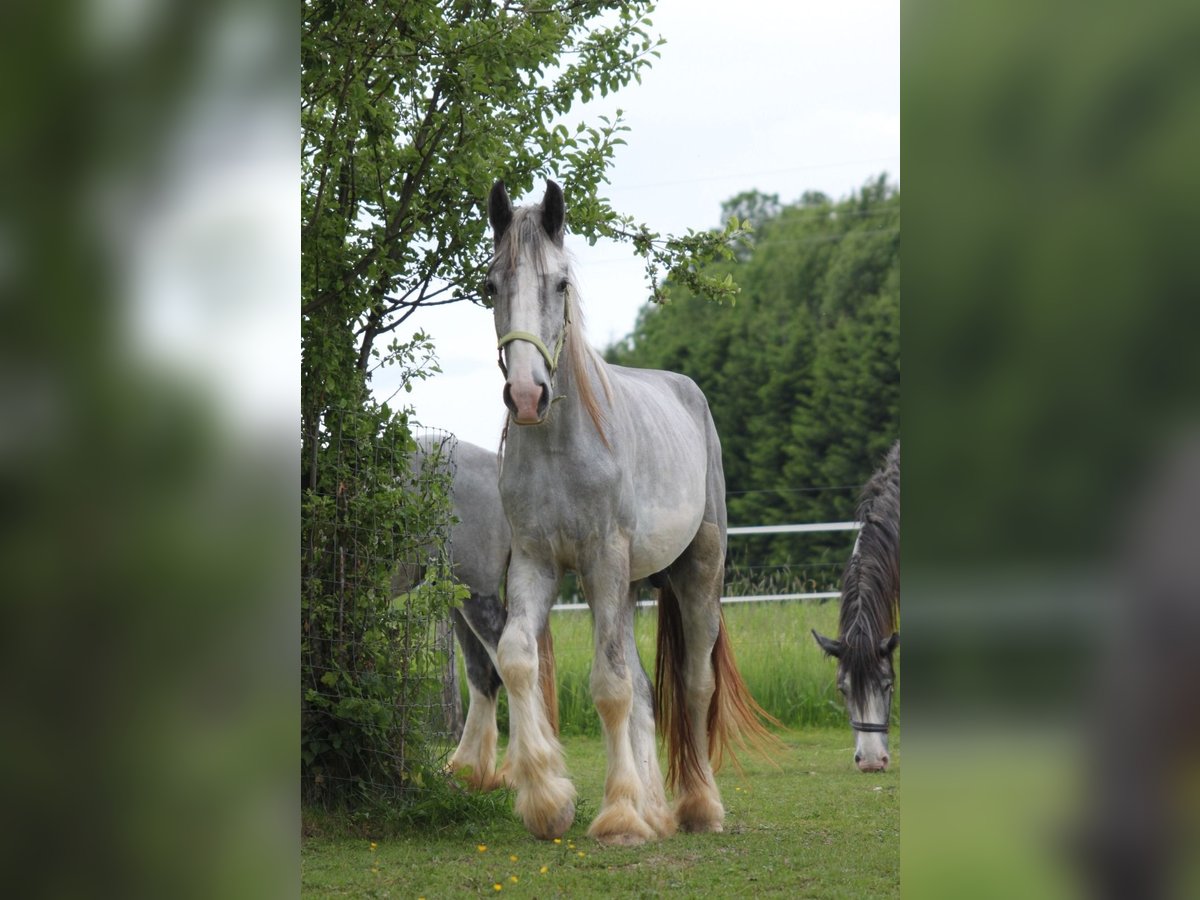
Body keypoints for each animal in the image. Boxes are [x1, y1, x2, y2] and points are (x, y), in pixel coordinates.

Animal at [397, 434, 557, 791]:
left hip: (475, 592)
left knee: (510, 665)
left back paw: (522, 772)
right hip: (456, 595)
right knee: (483, 672)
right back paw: (466, 769)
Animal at [483, 179, 776, 844]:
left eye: (560, 284)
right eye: (491, 285)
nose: (527, 396)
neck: (561, 445)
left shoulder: (602, 559)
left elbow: (611, 685)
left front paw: (618, 815)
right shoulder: (538, 563)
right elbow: (517, 659)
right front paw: (548, 799)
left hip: (696, 573)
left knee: (693, 687)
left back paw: (699, 806)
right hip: (630, 587)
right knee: (647, 688)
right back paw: (656, 806)